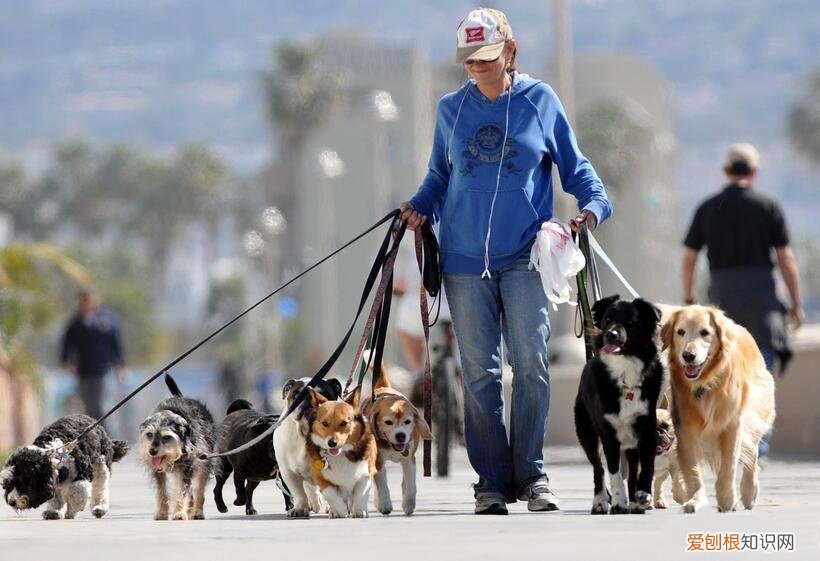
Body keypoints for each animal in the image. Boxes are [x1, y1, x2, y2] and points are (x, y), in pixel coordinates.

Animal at [211, 374, 342, 516]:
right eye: (297, 395)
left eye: (323, 394)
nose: (309, 400)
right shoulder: (285, 472)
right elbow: (298, 492)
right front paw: (300, 508)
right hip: (225, 467)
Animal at [362, 368, 432, 516]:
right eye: (388, 422)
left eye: (408, 421)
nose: (401, 435)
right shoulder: (378, 460)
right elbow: (382, 484)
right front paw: (385, 505)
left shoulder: (409, 459)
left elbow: (411, 485)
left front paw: (409, 505)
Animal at [572, 296, 664, 516]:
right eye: (608, 319)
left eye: (630, 322)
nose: (610, 334)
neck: (625, 370)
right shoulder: (608, 433)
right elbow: (613, 471)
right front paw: (619, 502)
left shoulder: (647, 430)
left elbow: (646, 467)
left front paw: (642, 495)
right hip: (586, 432)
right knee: (598, 468)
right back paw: (599, 501)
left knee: (632, 468)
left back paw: (636, 502)